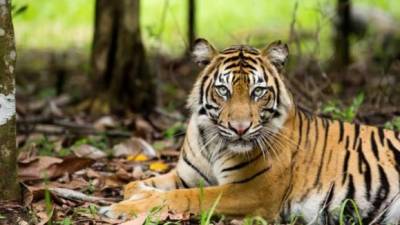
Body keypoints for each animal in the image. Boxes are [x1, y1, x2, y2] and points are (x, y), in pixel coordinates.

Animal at [99, 39, 400, 225]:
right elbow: (135, 184)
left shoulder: (251, 191)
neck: (214, 143)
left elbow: (183, 197)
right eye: (223, 90)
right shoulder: (186, 176)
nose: (240, 128)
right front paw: (137, 192)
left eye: (258, 92)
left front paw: (119, 209)